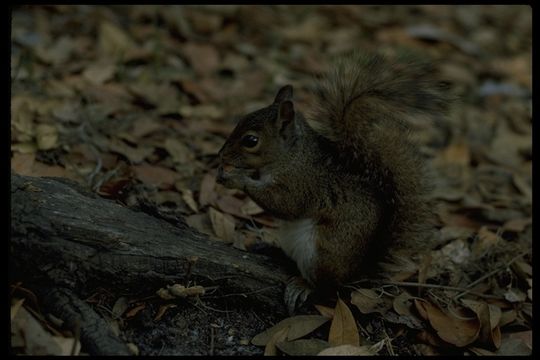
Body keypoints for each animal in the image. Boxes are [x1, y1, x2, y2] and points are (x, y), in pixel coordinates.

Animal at [215, 52, 448, 310]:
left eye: (251, 140)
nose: (221, 155)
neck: (292, 156)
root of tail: (357, 272)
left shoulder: (302, 183)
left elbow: (285, 204)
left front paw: (235, 178)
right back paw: (270, 249)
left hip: (323, 253)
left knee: (327, 287)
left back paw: (305, 286)